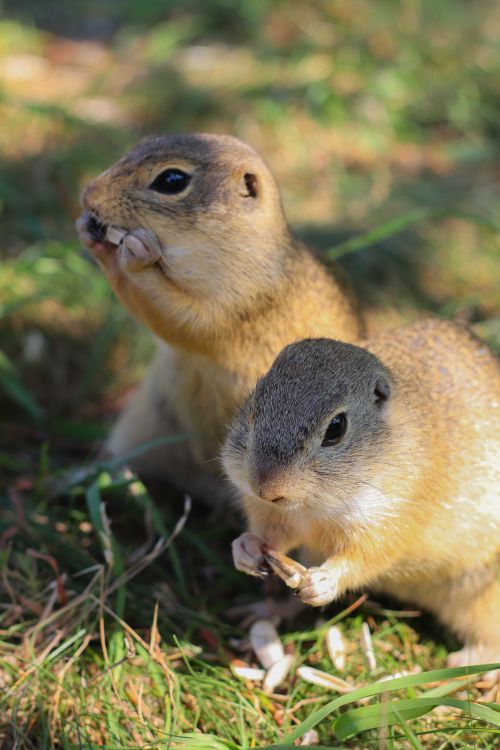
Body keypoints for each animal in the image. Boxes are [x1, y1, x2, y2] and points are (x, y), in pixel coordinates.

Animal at [76, 133, 363, 501]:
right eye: (139, 144)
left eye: (172, 180)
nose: (88, 195)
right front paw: (88, 232)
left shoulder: (236, 303)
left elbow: (176, 315)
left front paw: (135, 256)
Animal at [223, 319, 500, 666]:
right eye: (253, 407)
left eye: (336, 427)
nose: (265, 488)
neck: (314, 507)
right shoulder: (276, 515)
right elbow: (271, 536)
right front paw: (245, 548)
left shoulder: (388, 522)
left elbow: (366, 559)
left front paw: (325, 581)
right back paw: (263, 610)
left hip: (481, 596)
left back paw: (468, 663)